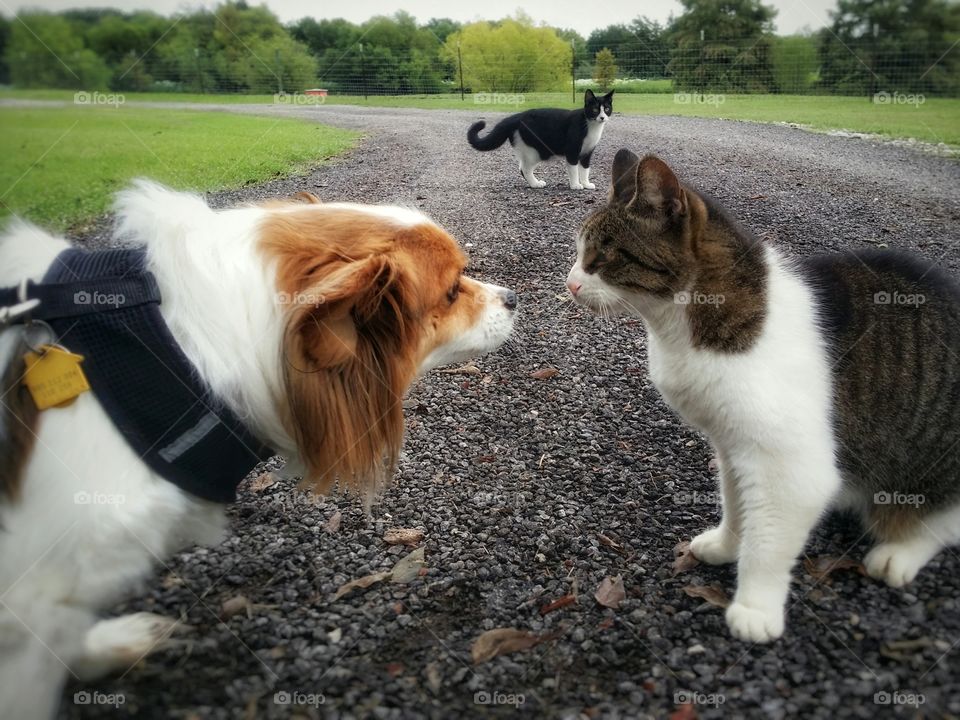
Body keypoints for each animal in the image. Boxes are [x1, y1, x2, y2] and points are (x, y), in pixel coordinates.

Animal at [466, 89, 616, 191]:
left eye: (607, 108)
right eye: (595, 109)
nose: (602, 117)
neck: (591, 126)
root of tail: (517, 116)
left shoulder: (587, 152)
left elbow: (585, 169)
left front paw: (586, 183)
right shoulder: (572, 151)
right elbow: (574, 170)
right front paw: (575, 185)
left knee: (522, 167)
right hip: (535, 151)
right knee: (525, 168)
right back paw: (535, 184)